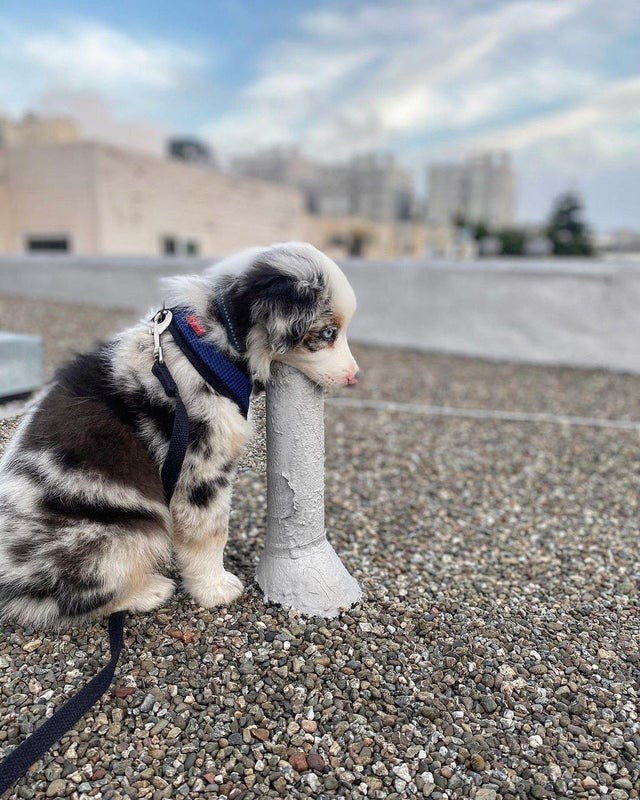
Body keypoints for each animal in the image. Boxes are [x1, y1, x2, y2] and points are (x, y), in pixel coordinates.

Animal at [0, 241, 360, 628]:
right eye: (327, 334)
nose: (355, 377)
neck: (215, 342)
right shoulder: (202, 466)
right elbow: (210, 533)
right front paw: (215, 589)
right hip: (124, 534)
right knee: (61, 602)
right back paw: (148, 590)